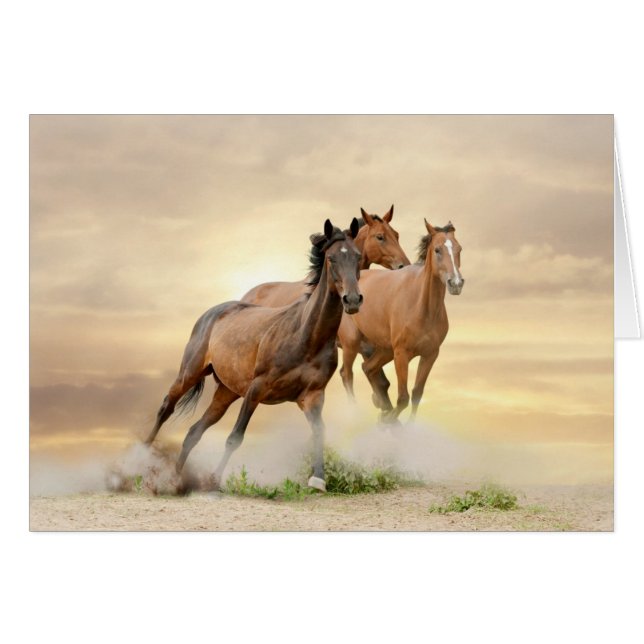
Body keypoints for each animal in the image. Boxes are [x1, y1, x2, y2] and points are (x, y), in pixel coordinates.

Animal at [144, 218, 363, 492]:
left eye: (358, 256)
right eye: (332, 258)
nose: (352, 300)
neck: (306, 336)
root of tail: (213, 312)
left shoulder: (313, 396)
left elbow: (319, 432)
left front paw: (318, 480)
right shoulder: (257, 389)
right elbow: (235, 437)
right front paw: (214, 480)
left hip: (227, 392)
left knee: (194, 431)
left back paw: (175, 480)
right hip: (190, 373)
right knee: (166, 408)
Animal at [337, 219, 464, 423]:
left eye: (459, 249)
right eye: (437, 249)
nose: (456, 283)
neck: (422, 308)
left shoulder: (430, 354)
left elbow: (417, 394)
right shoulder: (402, 354)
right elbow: (403, 398)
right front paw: (388, 420)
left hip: (384, 349)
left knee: (368, 369)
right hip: (351, 343)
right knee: (347, 374)